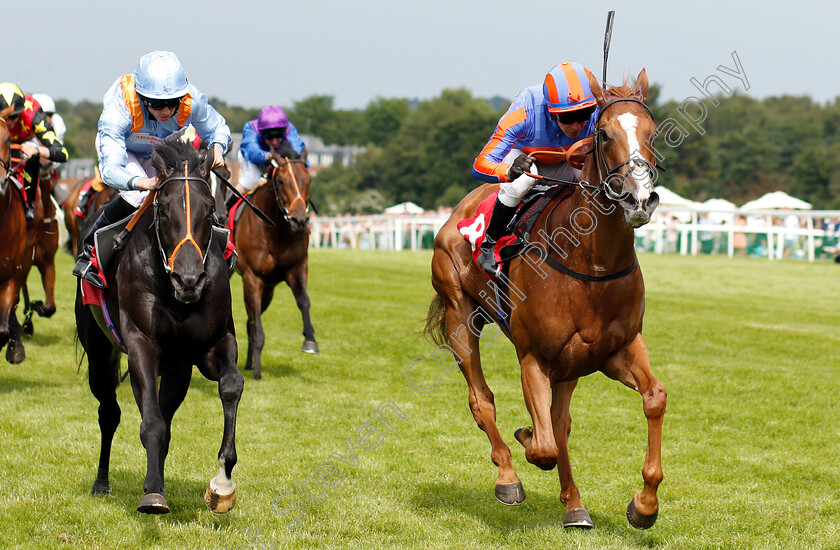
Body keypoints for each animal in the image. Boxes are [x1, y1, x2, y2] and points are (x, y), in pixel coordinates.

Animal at [76, 140, 244, 516]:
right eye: (163, 211)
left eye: (209, 210)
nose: (189, 279)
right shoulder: (141, 344)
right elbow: (150, 421)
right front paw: (153, 493)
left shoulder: (213, 344)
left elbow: (231, 385)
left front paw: (222, 484)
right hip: (99, 351)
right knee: (110, 412)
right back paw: (102, 483)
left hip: (178, 369)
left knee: (164, 415)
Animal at [230, 144, 318, 382]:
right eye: (280, 181)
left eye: (308, 179)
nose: (299, 221)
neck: (276, 230)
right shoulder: (252, 278)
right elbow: (258, 328)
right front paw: (258, 372)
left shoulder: (296, 269)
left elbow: (304, 301)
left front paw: (310, 340)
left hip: (268, 291)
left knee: (250, 320)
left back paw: (249, 361)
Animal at [426, 71, 668, 532]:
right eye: (604, 133)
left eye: (653, 133)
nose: (640, 198)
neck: (591, 263)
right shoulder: (534, 357)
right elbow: (542, 446)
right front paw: (523, 443)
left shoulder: (618, 349)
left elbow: (654, 398)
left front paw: (644, 505)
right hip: (460, 316)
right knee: (483, 401)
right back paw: (508, 477)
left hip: (570, 365)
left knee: (559, 422)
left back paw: (574, 505)